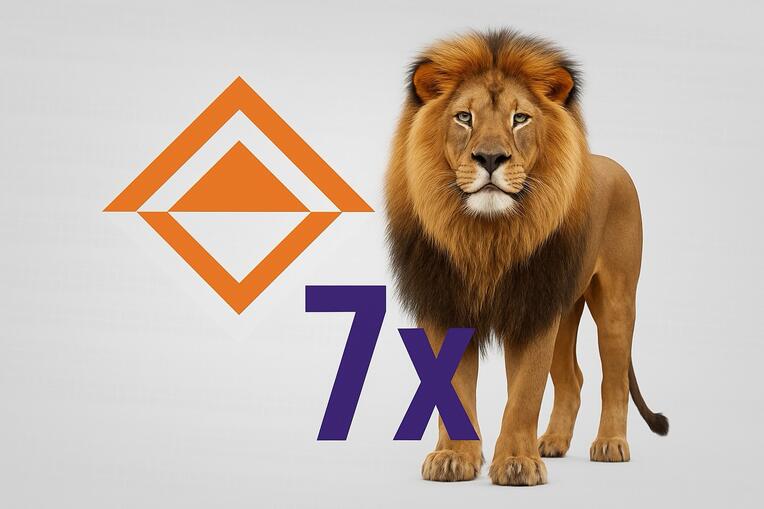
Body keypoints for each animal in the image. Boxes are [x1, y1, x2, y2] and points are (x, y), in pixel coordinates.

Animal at [385, 29, 668, 486]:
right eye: (463, 117)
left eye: (520, 118)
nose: (490, 158)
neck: (486, 236)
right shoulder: (446, 304)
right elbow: (453, 391)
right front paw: (454, 458)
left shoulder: (533, 308)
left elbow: (524, 394)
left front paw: (517, 462)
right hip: (566, 308)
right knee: (573, 379)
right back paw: (551, 442)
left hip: (616, 301)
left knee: (612, 378)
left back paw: (610, 444)